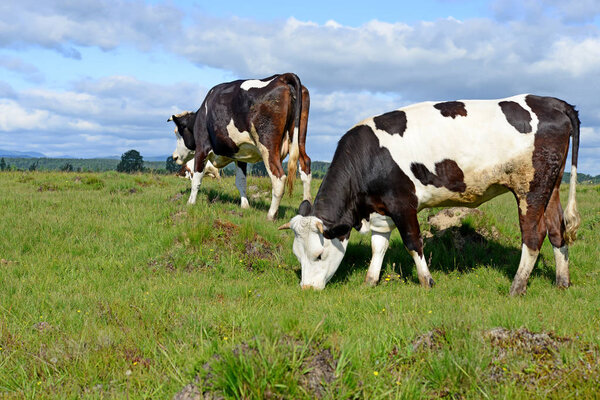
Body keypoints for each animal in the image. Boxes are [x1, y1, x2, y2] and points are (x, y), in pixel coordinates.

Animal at [168, 73, 310, 220]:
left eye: (177, 132)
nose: (174, 157)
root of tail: (282, 77)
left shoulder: (202, 148)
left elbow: (196, 178)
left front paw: (190, 203)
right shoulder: (241, 155)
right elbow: (241, 181)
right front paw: (245, 206)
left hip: (268, 146)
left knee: (279, 177)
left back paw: (271, 215)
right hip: (299, 140)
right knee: (305, 166)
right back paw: (306, 209)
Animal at [282, 93, 580, 294]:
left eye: (318, 255)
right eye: (297, 255)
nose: (307, 289)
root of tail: (552, 102)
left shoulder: (403, 204)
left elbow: (413, 243)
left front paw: (427, 281)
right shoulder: (380, 209)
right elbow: (379, 246)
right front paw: (370, 281)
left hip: (530, 188)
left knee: (533, 235)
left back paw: (517, 286)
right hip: (552, 185)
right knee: (557, 229)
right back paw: (561, 282)